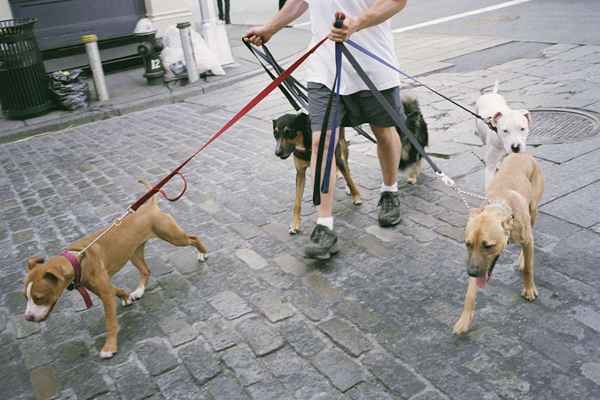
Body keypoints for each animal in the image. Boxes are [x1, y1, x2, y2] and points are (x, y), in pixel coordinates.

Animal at [22, 180, 209, 358]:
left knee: (193, 238)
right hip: (134, 253)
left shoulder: (105, 294)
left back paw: (202, 253)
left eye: (39, 298)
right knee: (146, 270)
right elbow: (117, 290)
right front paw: (126, 297)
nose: (28, 318)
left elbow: (110, 322)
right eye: (26, 297)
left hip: (173, 236)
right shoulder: (101, 288)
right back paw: (138, 291)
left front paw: (109, 348)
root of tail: (149, 207)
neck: (77, 259)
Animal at [454, 153, 544, 334]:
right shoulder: (477, 264)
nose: (471, 273)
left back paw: (522, 260)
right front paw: (464, 319)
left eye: (488, 246)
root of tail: (523, 153)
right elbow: (470, 293)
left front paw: (529, 288)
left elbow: (529, 269)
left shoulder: (527, 238)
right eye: (468, 244)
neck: (501, 204)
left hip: (533, 211)